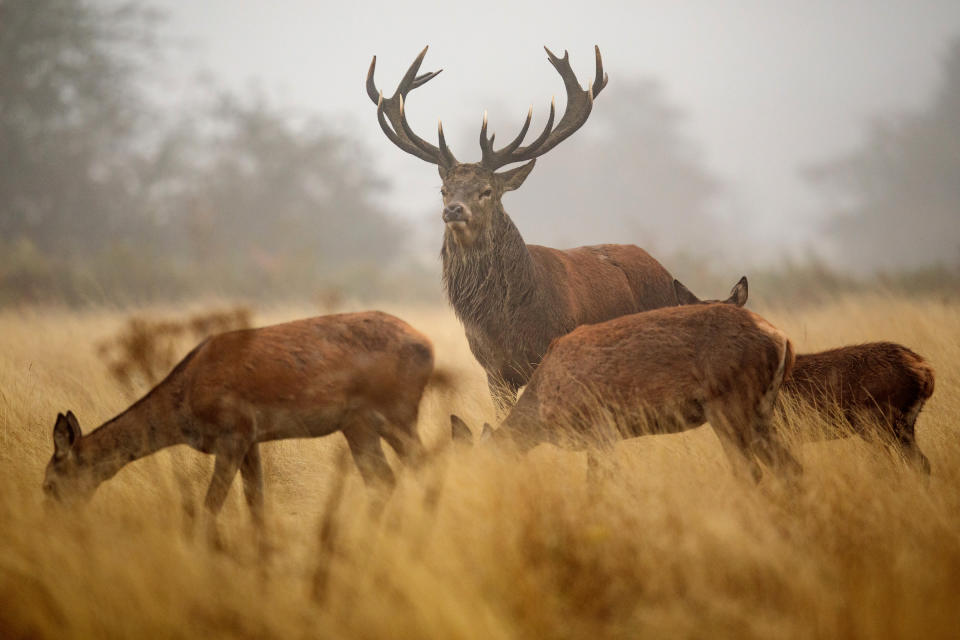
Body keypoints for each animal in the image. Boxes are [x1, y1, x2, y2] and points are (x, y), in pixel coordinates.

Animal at [42, 312, 436, 528]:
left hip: (396, 411)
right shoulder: (252, 439)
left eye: (48, 483)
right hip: (359, 424)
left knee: (418, 467)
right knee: (387, 477)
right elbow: (255, 503)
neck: (183, 406)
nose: (52, 522)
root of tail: (428, 347)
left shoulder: (233, 432)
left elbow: (210, 505)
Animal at [368, 47, 688, 412]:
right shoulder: (494, 371)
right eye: (444, 190)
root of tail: (666, 272)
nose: (453, 210)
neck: (506, 324)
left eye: (486, 191)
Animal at [450, 304, 804, 480]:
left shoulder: (599, 427)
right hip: (761, 409)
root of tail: (782, 338)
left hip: (730, 402)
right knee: (790, 468)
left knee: (751, 472)